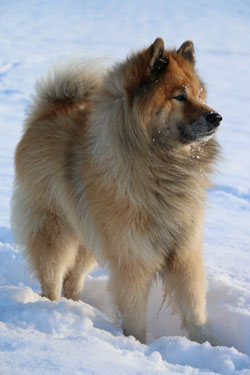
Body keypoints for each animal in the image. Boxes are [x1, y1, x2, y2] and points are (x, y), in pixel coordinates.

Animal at [11, 37, 222, 344]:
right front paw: (139, 346)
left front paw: (207, 343)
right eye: (179, 97)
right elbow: (134, 315)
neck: (162, 165)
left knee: (73, 280)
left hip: (89, 237)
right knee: (52, 277)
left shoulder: (184, 254)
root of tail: (47, 113)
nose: (216, 116)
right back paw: (53, 309)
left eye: (199, 94)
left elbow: (195, 309)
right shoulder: (133, 259)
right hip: (55, 230)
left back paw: (76, 308)